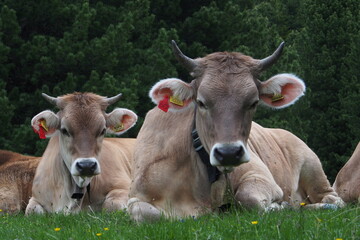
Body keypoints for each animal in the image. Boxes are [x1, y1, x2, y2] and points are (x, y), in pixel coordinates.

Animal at [127, 40, 344, 221]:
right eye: (201, 102)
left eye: (253, 102)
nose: (229, 153)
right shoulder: (136, 197)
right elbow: (144, 212)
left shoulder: (260, 175)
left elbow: (248, 199)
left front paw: (279, 206)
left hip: (312, 167)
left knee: (332, 199)